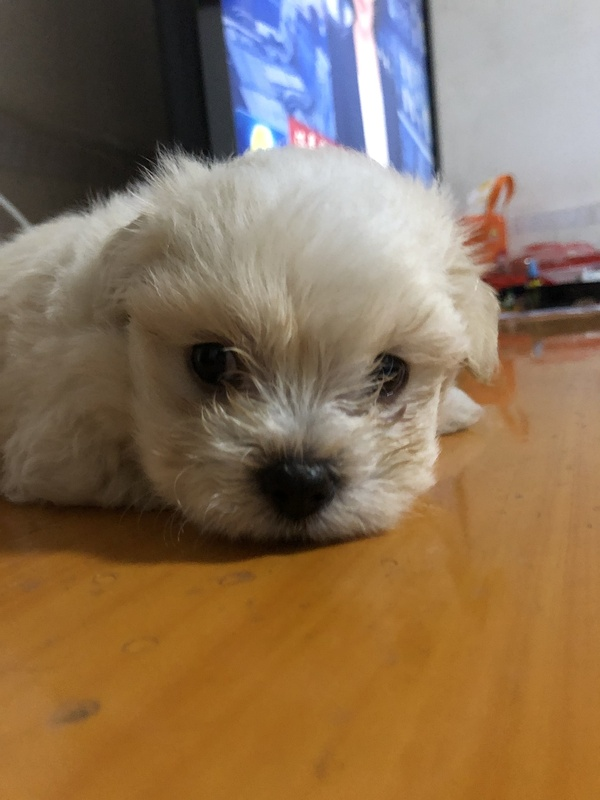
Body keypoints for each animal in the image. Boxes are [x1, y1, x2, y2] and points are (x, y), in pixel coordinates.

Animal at [0, 146, 498, 541]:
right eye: (211, 361)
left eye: (390, 372)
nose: (300, 482)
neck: (122, 366)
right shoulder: (58, 443)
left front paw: (456, 407)